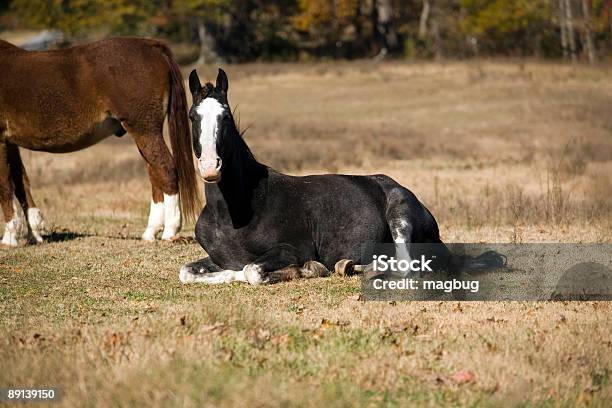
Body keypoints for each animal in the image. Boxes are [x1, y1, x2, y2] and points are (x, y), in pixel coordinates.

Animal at [0, 37, 198, 245]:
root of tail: (151, 45)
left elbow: (5, 186)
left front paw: (9, 238)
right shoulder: (11, 143)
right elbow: (21, 182)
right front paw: (35, 234)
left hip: (145, 129)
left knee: (166, 169)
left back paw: (170, 232)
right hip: (144, 133)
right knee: (155, 173)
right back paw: (150, 232)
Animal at [180, 69, 498, 284]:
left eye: (226, 117)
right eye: (192, 116)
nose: (210, 167)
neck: (236, 212)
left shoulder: (290, 249)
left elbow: (251, 270)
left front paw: (305, 269)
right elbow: (188, 272)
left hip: (400, 216)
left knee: (407, 266)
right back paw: (350, 266)